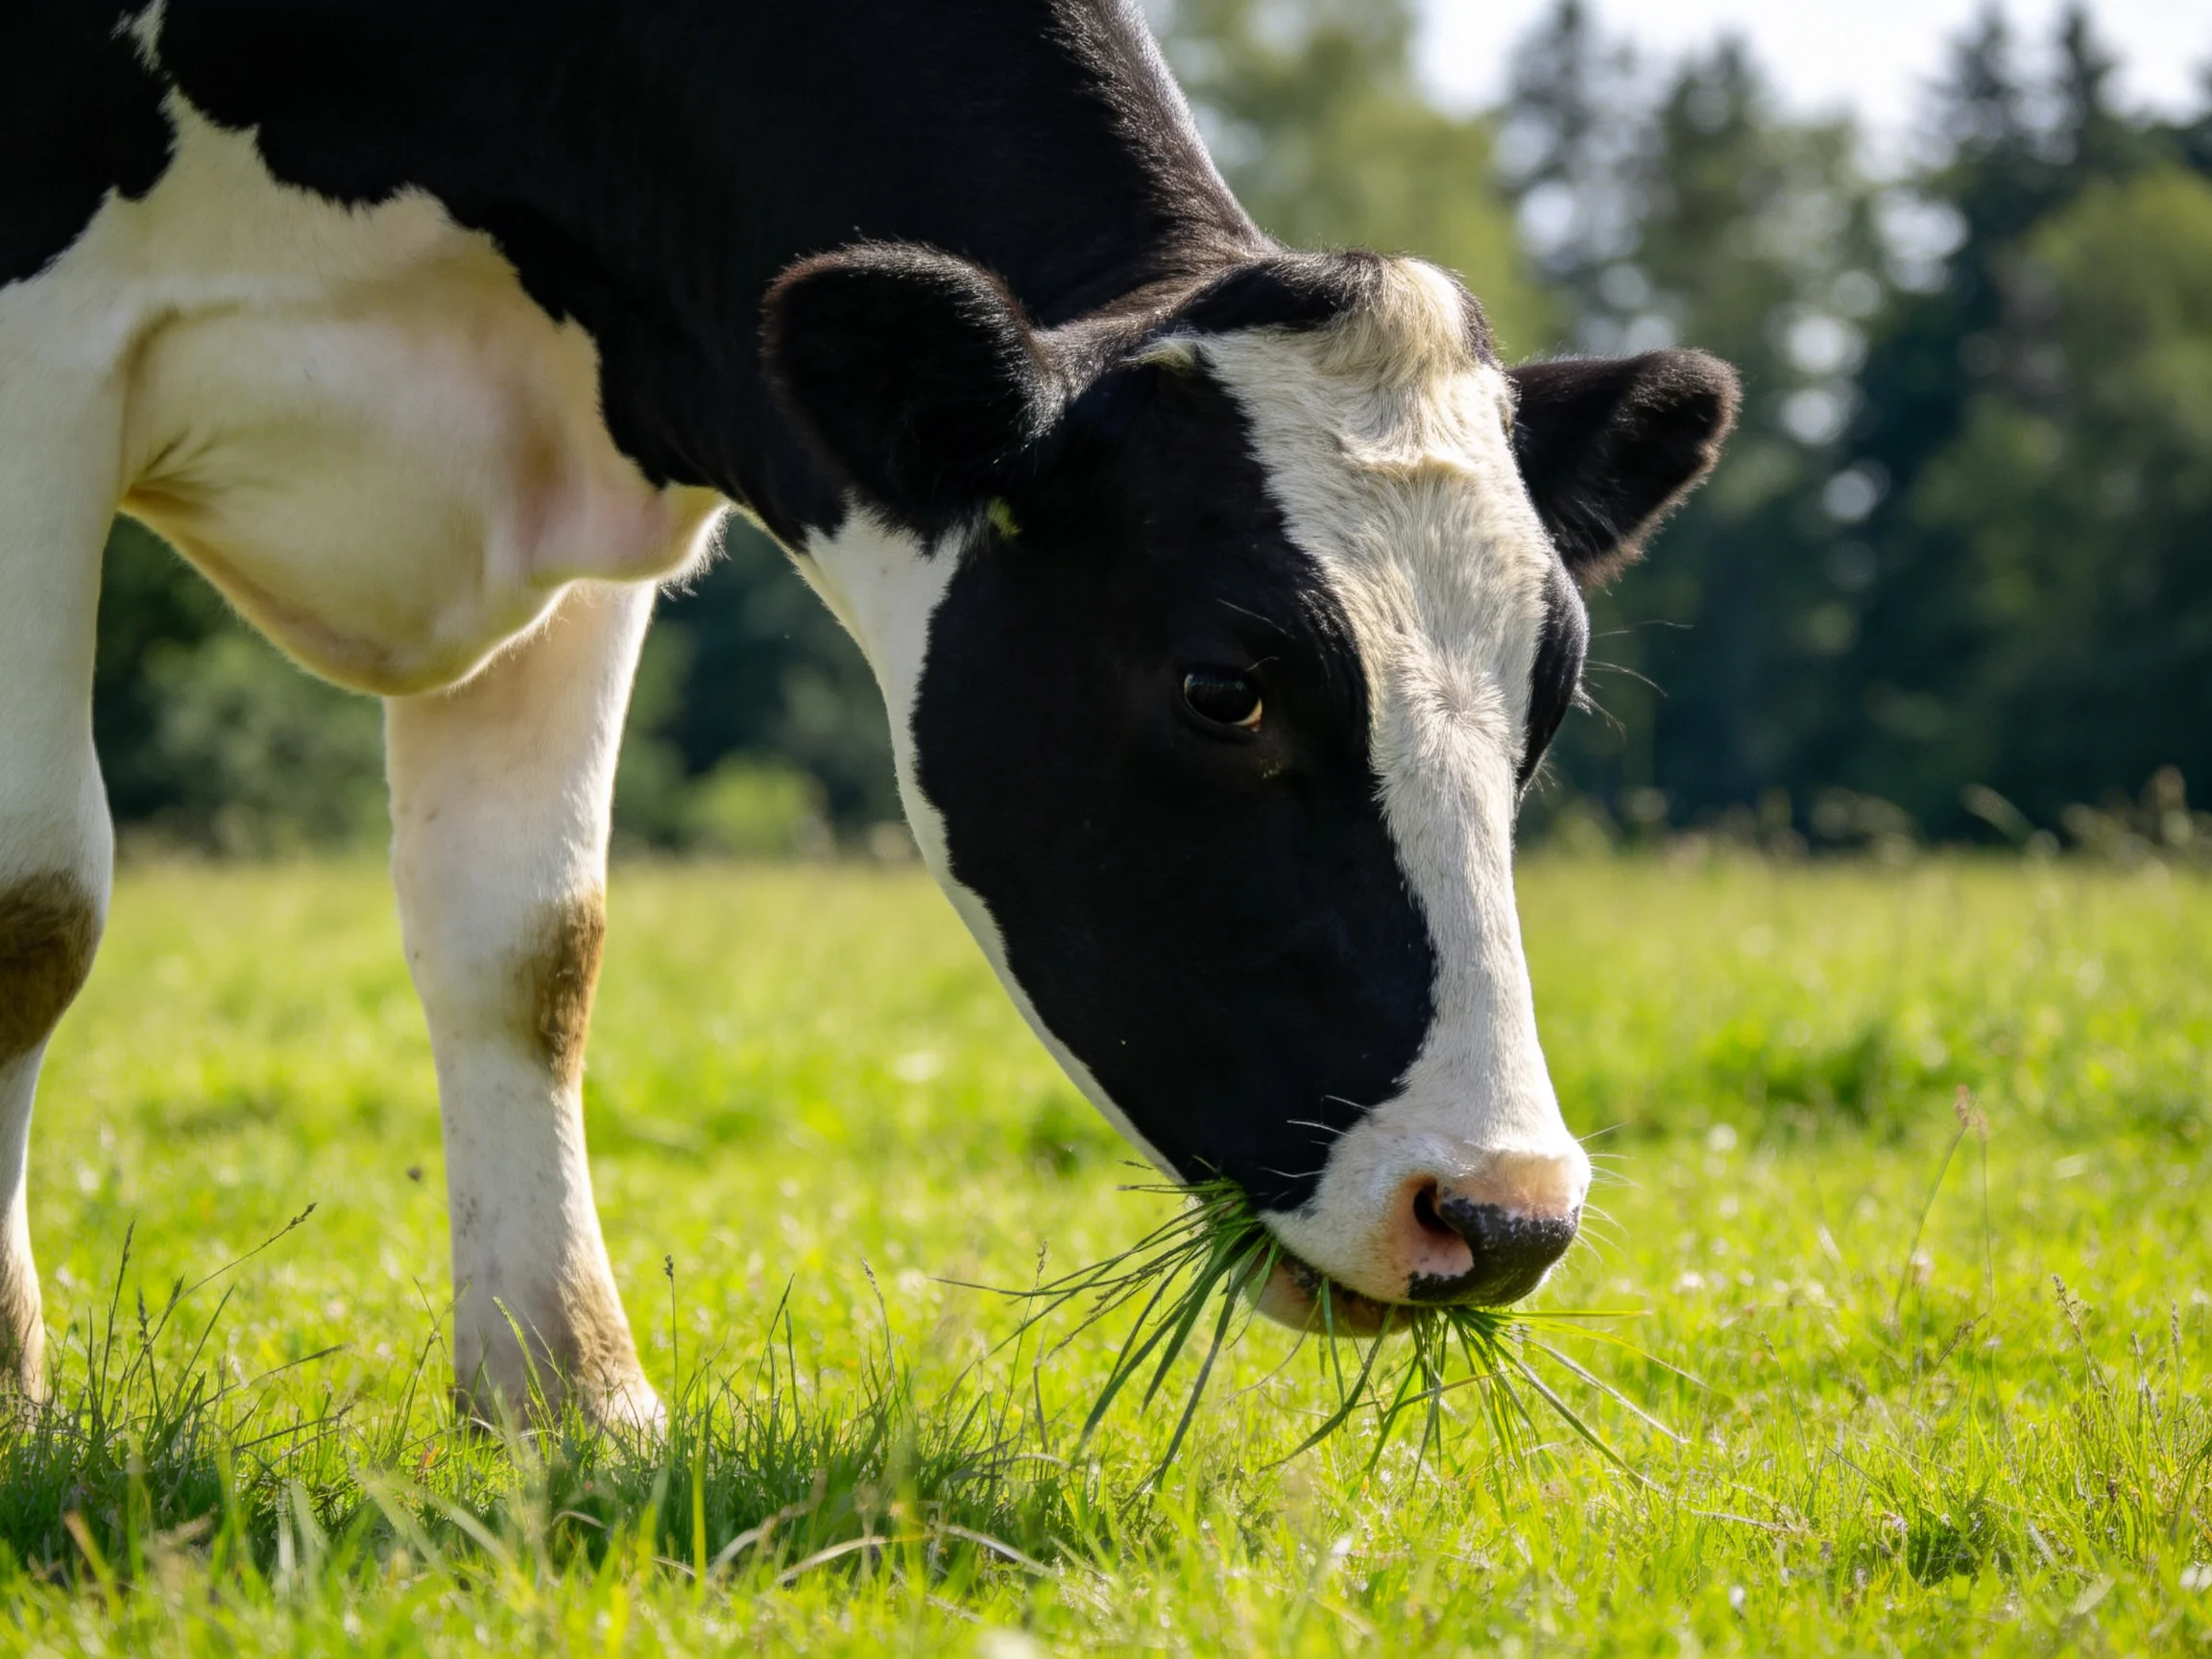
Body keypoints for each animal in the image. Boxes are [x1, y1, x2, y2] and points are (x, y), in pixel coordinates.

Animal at [0, 1, 1737, 1425]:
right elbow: (38, 907)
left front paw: (570, 1397)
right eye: (1221, 689)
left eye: (1549, 703)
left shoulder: (580, 459)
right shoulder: (39, 357)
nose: (1501, 1211)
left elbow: (527, 945)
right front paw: (12, 1395)